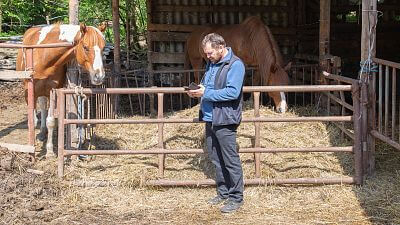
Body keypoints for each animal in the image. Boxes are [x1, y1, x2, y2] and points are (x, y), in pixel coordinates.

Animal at [16, 22, 106, 156]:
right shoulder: (29, 93)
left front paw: (49, 150)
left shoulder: (54, 91)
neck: (45, 57)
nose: (99, 76)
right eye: (85, 47)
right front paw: (30, 147)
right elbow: (32, 121)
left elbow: (51, 121)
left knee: (43, 106)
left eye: (103, 48)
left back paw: (43, 132)